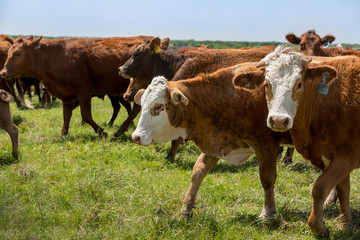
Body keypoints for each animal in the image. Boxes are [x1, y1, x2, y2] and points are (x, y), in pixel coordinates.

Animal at [0, 34, 153, 138]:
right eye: (8, 52)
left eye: (18, 53)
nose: (3, 72)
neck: (56, 57)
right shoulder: (66, 96)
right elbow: (66, 115)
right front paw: (63, 133)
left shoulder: (84, 93)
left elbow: (86, 116)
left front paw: (101, 132)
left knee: (135, 108)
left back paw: (121, 129)